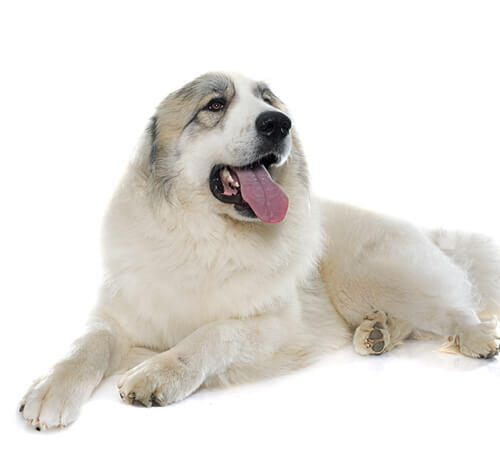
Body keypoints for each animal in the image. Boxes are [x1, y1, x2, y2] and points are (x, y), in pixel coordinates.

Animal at [19, 72, 500, 430]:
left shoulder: (276, 326)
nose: (278, 123)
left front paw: (158, 372)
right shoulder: (117, 316)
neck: (205, 235)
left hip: (367, 273)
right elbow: (85, 345)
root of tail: (425, 231)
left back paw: (476, 338)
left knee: (451, 307)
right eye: (215, 105)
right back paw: (376, 333)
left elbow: (213, 333)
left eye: (267, 100)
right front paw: (50, 387)